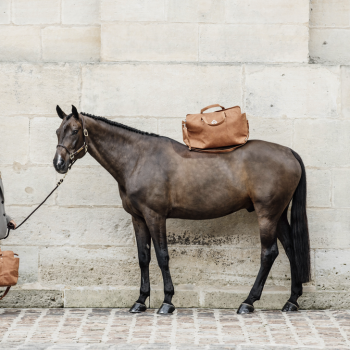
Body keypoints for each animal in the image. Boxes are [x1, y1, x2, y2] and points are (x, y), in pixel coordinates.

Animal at [53, 105, 310, 316]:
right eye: (57, 132)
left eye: (75, 130)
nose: (59, 164)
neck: (138, 159)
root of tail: (289, 152)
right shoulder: (138, 218)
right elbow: (144, 257)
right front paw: (140, 301)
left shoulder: (155, 216)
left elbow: (162, 256)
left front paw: (167, 302)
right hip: (278, 215)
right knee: (290, 249)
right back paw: (291, 301)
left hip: (267, 214)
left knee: (269, 253)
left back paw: (248, 302)